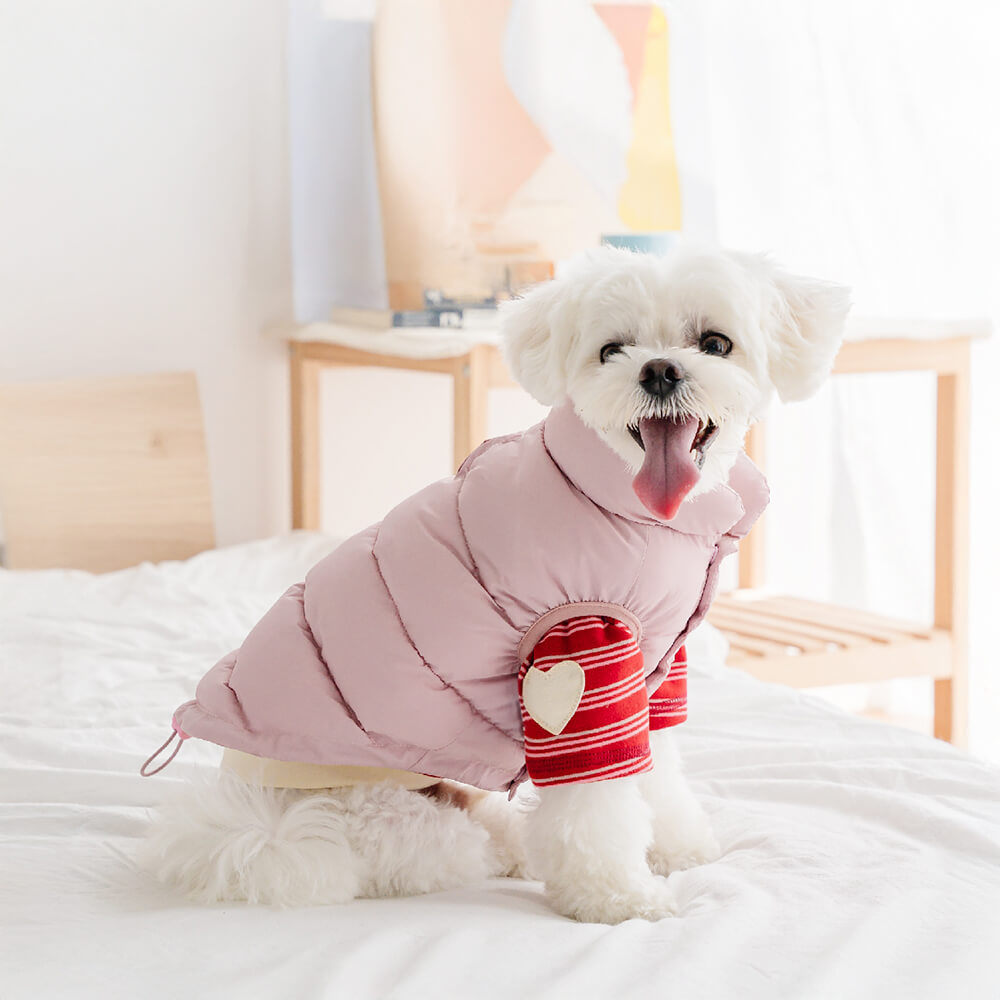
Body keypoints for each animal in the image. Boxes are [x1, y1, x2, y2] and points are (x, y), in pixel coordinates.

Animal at [145, 242, 848, 920]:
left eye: (715, 343)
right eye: (611, 351)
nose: (659, 371)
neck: (626, 500)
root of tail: (257, 821)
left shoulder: (650, 666)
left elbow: (658, 773)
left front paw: (677, 847)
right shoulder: (578, 651)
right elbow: (597, 798)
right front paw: (617, 896)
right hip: (376, 810)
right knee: (445, 848)